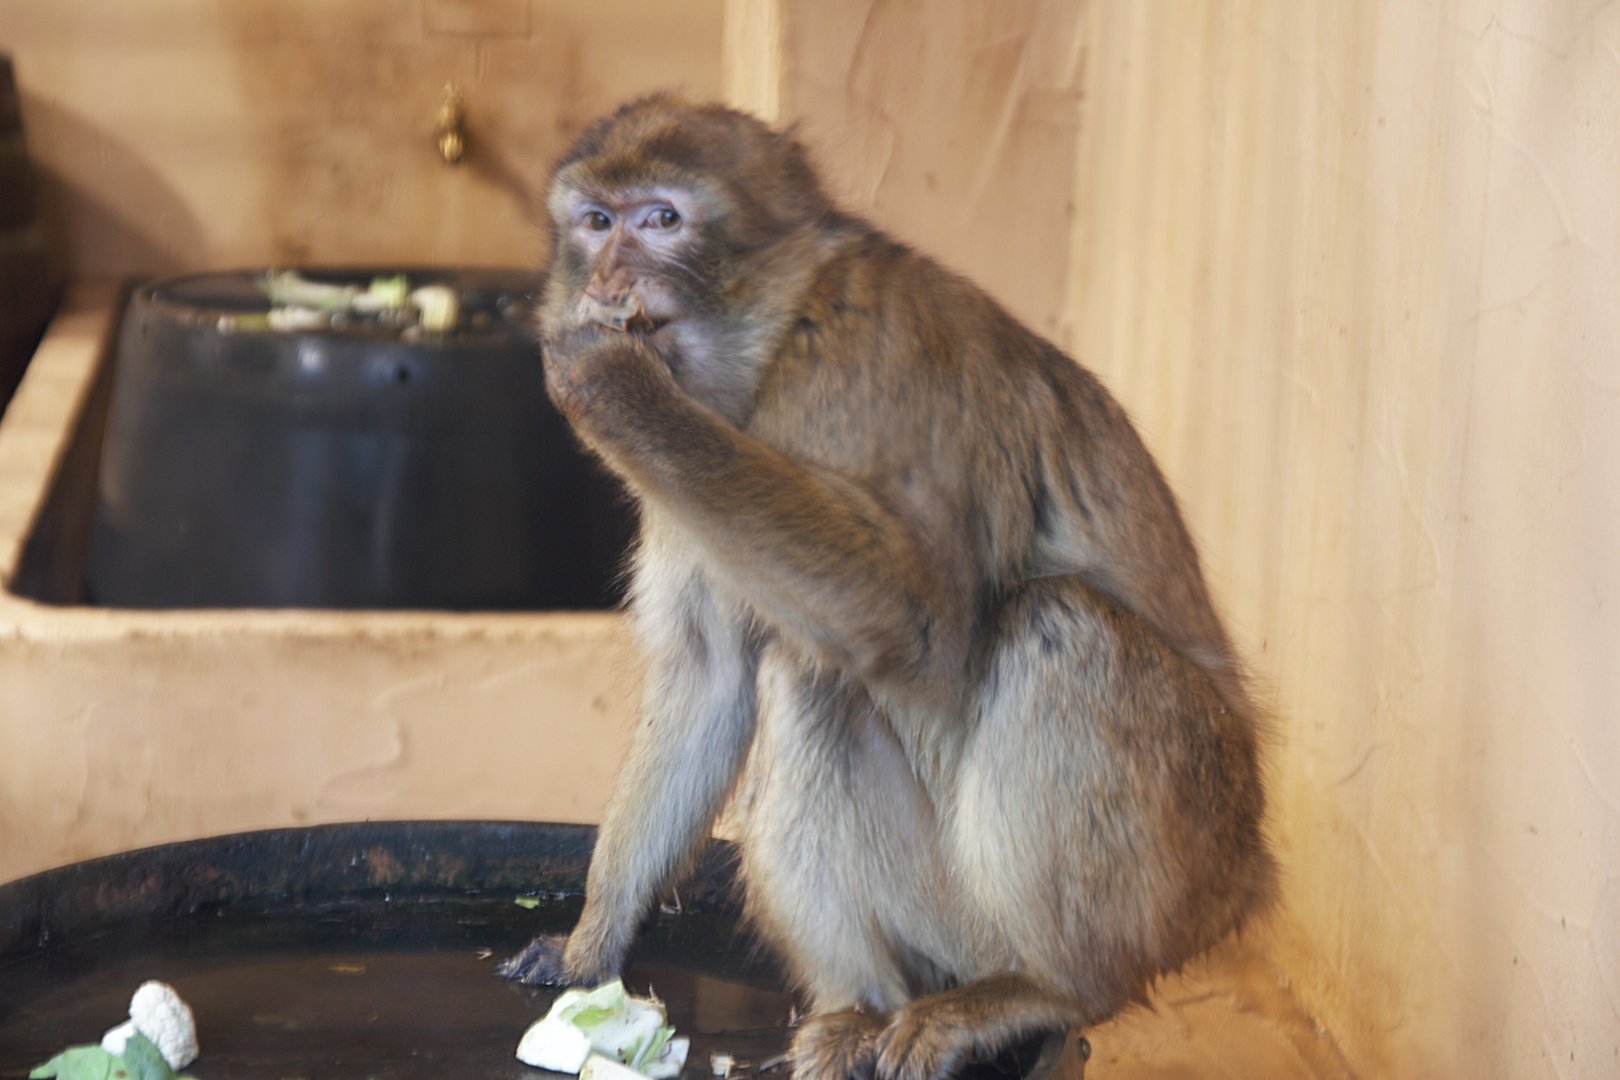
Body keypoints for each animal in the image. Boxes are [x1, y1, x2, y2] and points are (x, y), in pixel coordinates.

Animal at [499, 94, 1276, 1080]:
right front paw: (590, 945)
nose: (609, 273)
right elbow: (708, 680)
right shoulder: (681, 500)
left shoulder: (863, 363)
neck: (771, 340)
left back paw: (1049, 989)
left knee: (1050, 625)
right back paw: (859, 1007)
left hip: (1170, 871)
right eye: (597, 222)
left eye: (662, 220)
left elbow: (913, 621)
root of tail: (1244, 883)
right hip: (945, 922)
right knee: (808, 681)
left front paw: (611, 386)